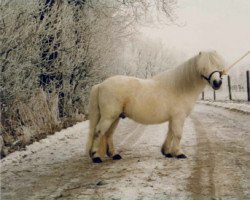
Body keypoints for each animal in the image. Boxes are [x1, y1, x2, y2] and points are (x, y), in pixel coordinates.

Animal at [85, 50, 225, 163]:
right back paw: (96, 157)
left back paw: (114, 155)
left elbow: (170, 133)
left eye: (218, 65)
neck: (180, 87)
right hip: (109, 116)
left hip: (115, 117)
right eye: (204, 66)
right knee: (98, 132)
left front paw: (167, 152)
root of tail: (101, 85)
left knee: (108, 134)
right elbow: (178, 134)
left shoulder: (173, 118)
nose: (217, 83)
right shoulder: (178, 117)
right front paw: (179, 153)